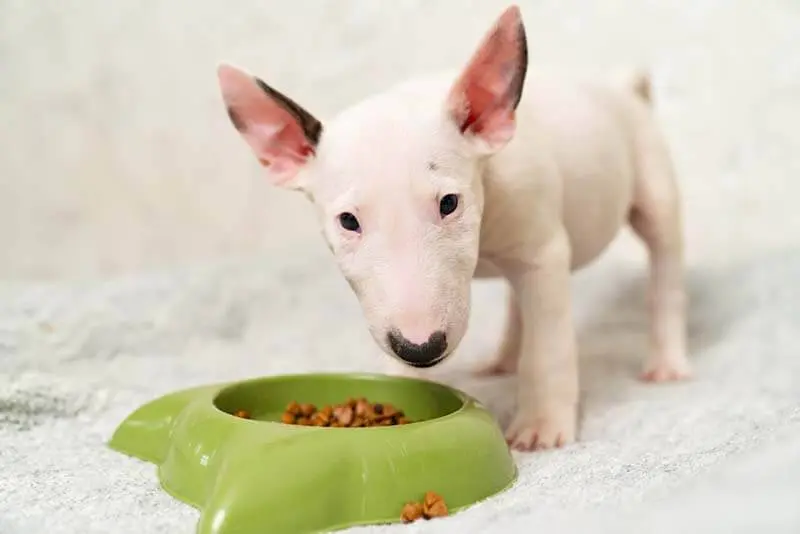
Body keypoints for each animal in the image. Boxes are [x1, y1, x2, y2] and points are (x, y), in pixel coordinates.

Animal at [216, 6, 692, 454]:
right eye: (348, 221)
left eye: (449, 203)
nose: (421, 348)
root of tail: (623, 87)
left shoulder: (543, 254)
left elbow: (548, 346)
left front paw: (541, 427)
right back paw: (503, 359)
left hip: (652, 180)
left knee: (664, 264)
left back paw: (666, 361)